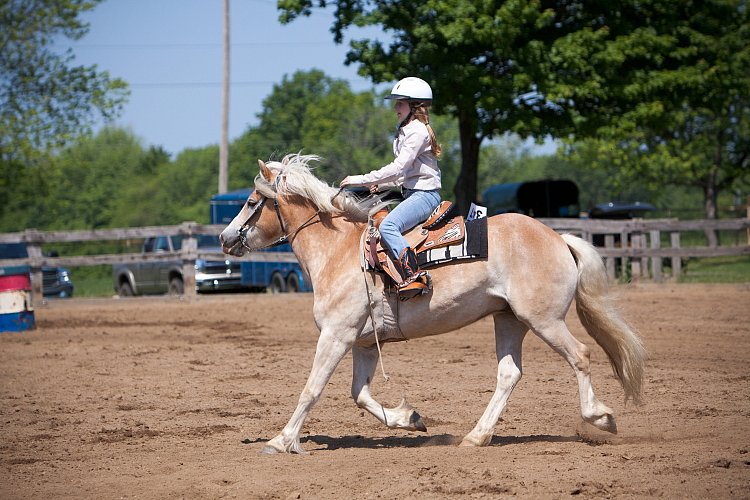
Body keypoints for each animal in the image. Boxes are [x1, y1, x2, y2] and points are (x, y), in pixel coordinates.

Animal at [217, 152, 648, 454]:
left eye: (253, 201)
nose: (224, 237)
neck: (339, 251)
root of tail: (558, 237)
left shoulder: (337, 336)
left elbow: (312, 389)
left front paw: (281, 440)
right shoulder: (362, 342)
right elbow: (359, 394)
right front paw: (409, 418)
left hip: (544, 319)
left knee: (580, 355)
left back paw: (599, 417)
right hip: (509, 319)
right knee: (509, 374)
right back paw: (476, 436)